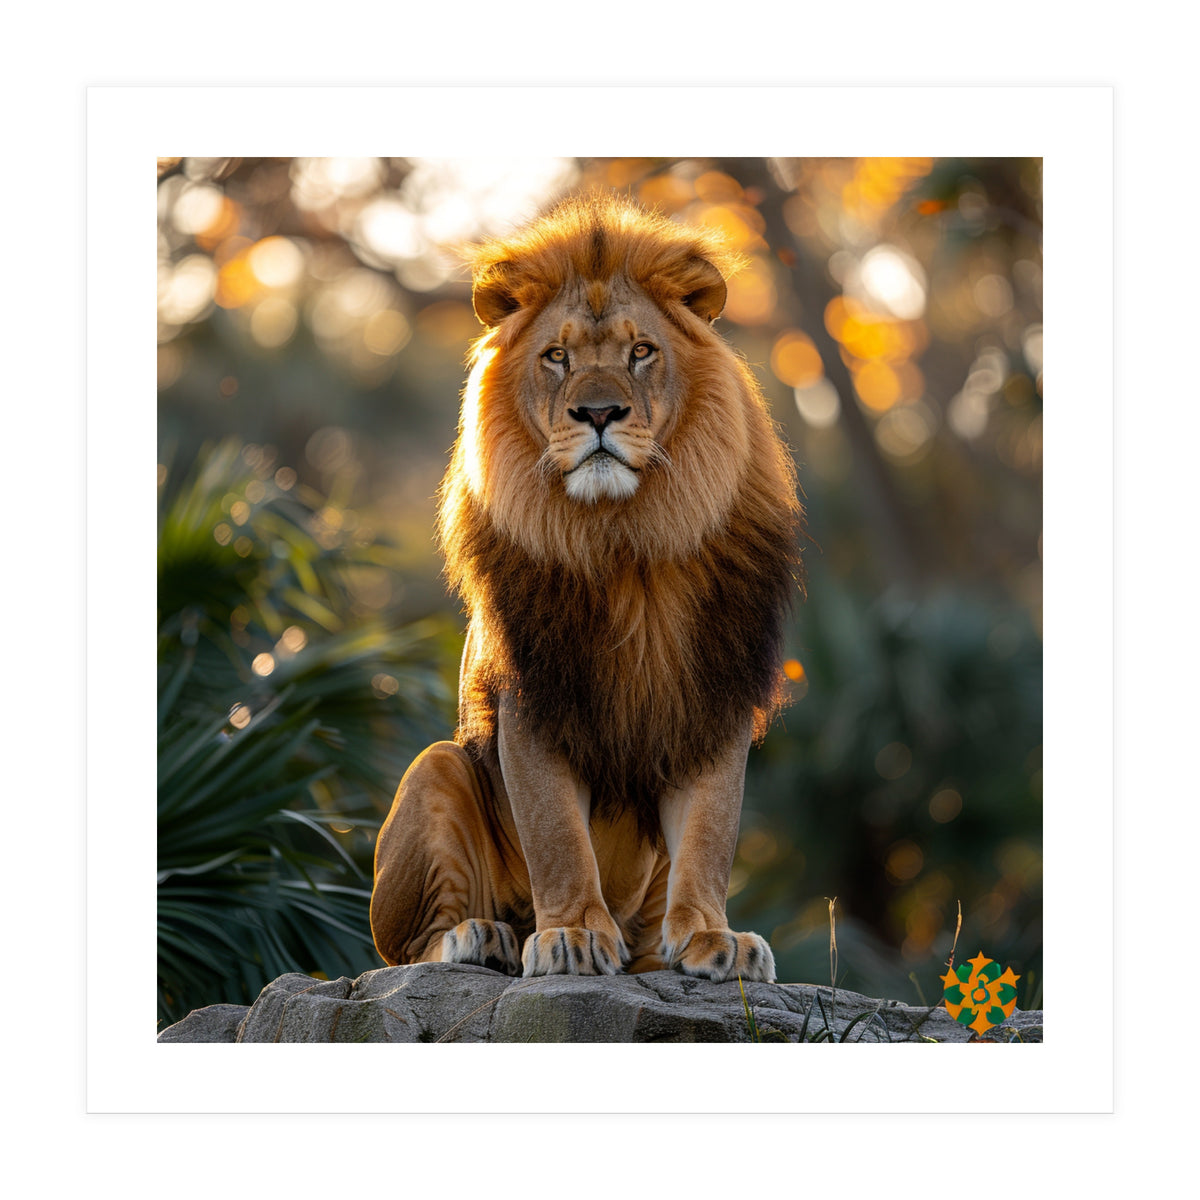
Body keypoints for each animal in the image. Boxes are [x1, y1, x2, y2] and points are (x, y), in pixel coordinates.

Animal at [370, 193, 803, 984]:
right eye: (557, 357)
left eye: (641, 352)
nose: (599, 414)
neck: (625, 541)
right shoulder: (533, 697)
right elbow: (557, 836)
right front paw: (569, 934)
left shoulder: (713, 696)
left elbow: (709, 833)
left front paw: (712, 938)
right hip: (436, 768)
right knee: (406, 949)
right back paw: (483, 936)